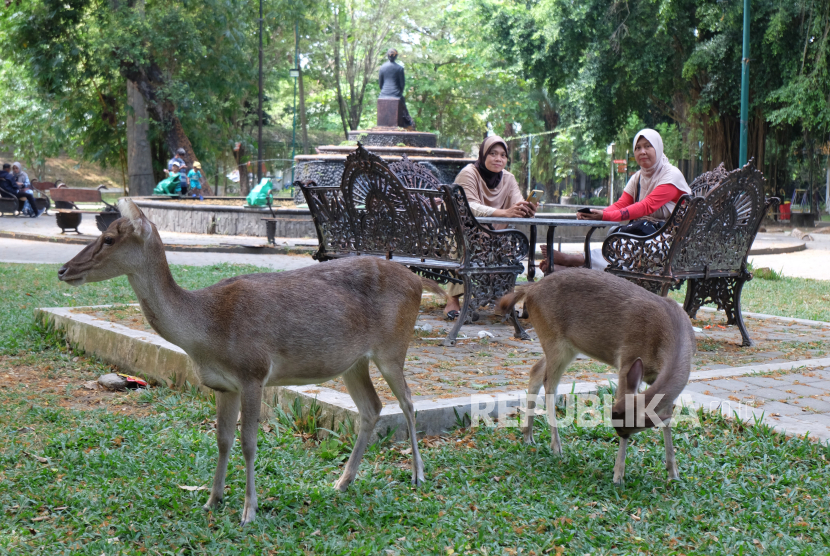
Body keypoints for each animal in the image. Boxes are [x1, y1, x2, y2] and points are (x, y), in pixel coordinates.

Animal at [57, 200, 448, 524]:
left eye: (109, 238)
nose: (63, 270)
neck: (206, 333)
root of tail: (419, 281)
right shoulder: (222, 385)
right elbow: (222, 440)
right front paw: (211, 500)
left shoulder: (253, 373)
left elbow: (249, 443)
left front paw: (249, 511)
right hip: (353, 362)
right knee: (372, 407)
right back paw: (341, 482)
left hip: (392, 348)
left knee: (408, 402)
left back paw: (418, 474)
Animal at [498, 268, 700, 482]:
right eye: (620, 427)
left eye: (628, 430)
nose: (620, 434)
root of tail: (531, 288)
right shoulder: (626, 360)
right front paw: (618, 475)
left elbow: (667, 419)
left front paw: (673, 472)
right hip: (554, 339)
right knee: (549, 385)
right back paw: (556, 447)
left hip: (566, 346)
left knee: (536, 371)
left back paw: (528, 435)